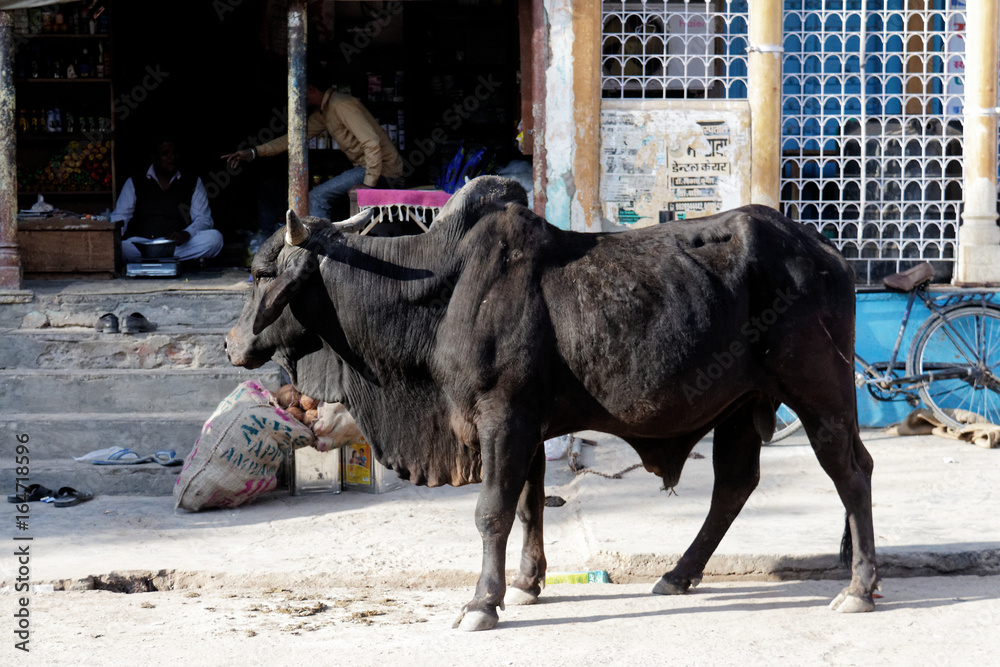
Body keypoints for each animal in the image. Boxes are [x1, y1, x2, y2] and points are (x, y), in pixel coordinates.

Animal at [226, 176, 878, 631]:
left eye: (260, 274)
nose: (231, 344)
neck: (440, 291)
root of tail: (825, 249)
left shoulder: (502, 418)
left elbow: (492, 510)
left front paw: (482, 603)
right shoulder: (527, 426)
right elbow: (528, 505)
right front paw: (525, 584)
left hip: (819, 392)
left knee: (851, 470)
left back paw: (858, 587)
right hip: (741, 406)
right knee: (735, 486)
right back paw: (678, 574)